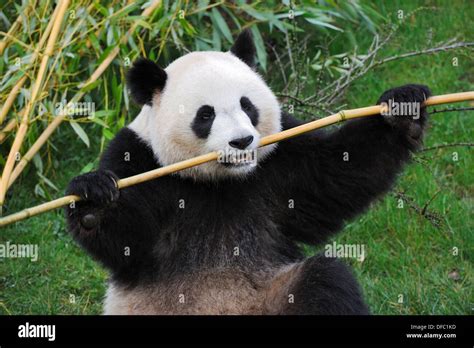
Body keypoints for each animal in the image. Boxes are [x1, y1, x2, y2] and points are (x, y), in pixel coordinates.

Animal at [65, 29, 432, 316]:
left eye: (247, 105)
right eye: (205, 115)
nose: (242, 141)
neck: (220, 181)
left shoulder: (279, 161)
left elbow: (336, 175)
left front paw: (402, 109)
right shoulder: (139, 158)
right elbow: (125, 241)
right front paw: (93, 198)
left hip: (275, 292)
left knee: (324, 281)